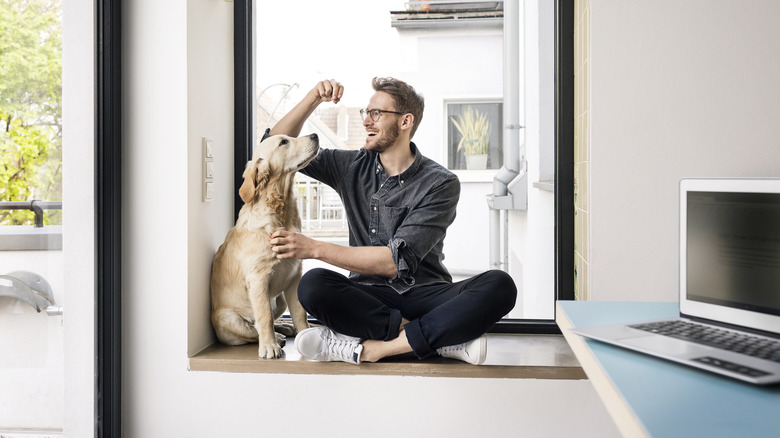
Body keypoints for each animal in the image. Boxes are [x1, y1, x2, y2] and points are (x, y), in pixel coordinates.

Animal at [209, 132, 318, 358]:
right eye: (283, 142)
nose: (315, 135)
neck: (280, 212)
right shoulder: (258, 279)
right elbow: (264, 317)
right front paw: (269, 346)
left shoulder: (295, 276)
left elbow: (299, 313)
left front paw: (305, 335)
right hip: (227, 318)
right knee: (252, 330)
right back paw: (276, 337)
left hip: (280, 299)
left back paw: (285, 327)